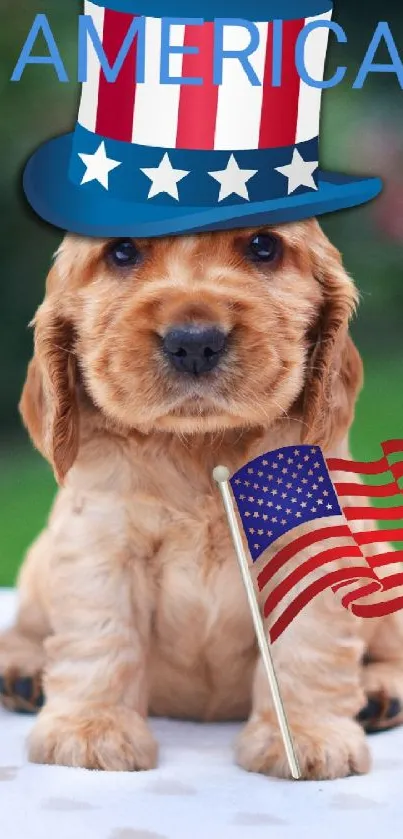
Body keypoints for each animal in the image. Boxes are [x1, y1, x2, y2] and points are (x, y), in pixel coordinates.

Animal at [0, 218, 403, 780]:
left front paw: (306, 737)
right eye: (122, 251)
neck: (200, 445)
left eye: (263, 246)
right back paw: (21, 670)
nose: (194, 343)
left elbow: (307, 646)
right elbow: (102, 634)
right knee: (28, 628)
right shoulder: (101, 542)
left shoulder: (311, 540)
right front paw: (91, 732)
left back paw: (380, 692)